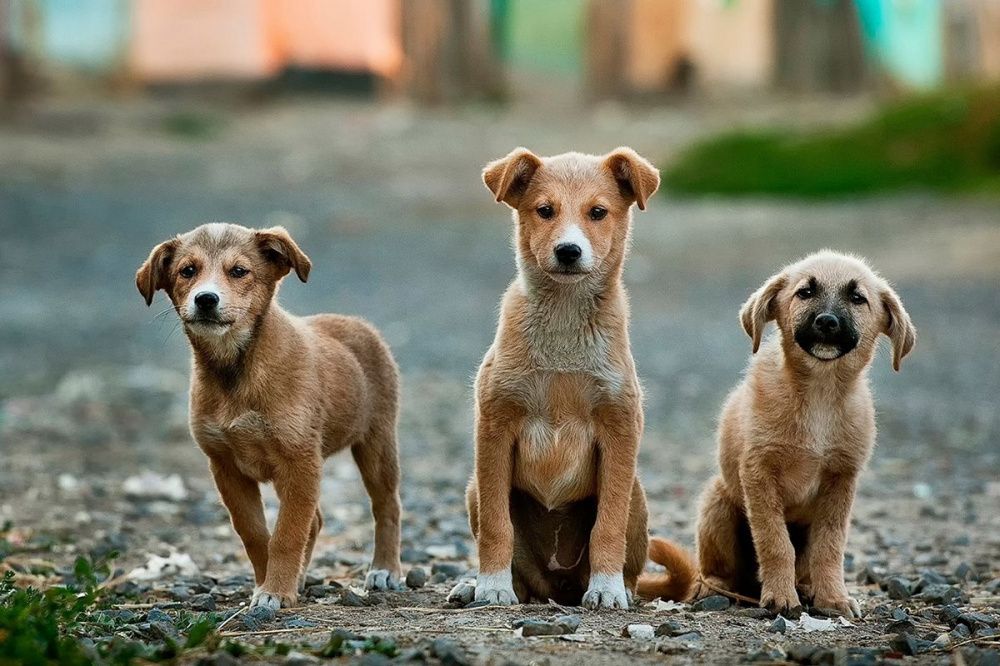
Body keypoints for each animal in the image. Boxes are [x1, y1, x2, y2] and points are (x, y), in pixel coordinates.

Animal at [136, 223, 402, 608]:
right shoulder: (226, 467)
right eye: (187, 271)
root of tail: (357, 323)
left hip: (377, 443)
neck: (236, 370)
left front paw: (275, 591)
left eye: (239, 271)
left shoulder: (300, 461)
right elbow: (256, 534)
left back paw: (385, 569)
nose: (206, 299)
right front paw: (269, 584)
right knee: (316, 520)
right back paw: (301, 578)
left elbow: (287, 534)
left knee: (386, 506)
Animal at [448, 147, 692, 608]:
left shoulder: (619, 428)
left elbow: (607, 526)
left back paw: (619, 587)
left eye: (598, 212)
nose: (568, 251)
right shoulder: (494, 425)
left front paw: (607, 588)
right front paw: (490, 584)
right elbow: (496, 524)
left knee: (627, 559)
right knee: (519, 568)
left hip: (636, 494)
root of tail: (557, 586)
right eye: (545, 210)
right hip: (475, 488)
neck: (564, 322)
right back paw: (479, 585)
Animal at [640, 250, 916, 616]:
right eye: (805, 292)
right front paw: (781, 597)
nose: (826, 321)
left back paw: (807, 588)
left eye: (858, 298)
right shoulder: (759, 473)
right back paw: (716, 588)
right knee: (715, 570)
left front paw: (833, 598)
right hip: (718, 502)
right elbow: (775, 542)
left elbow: (829, 547)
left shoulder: (841, 480)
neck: (819, 394)